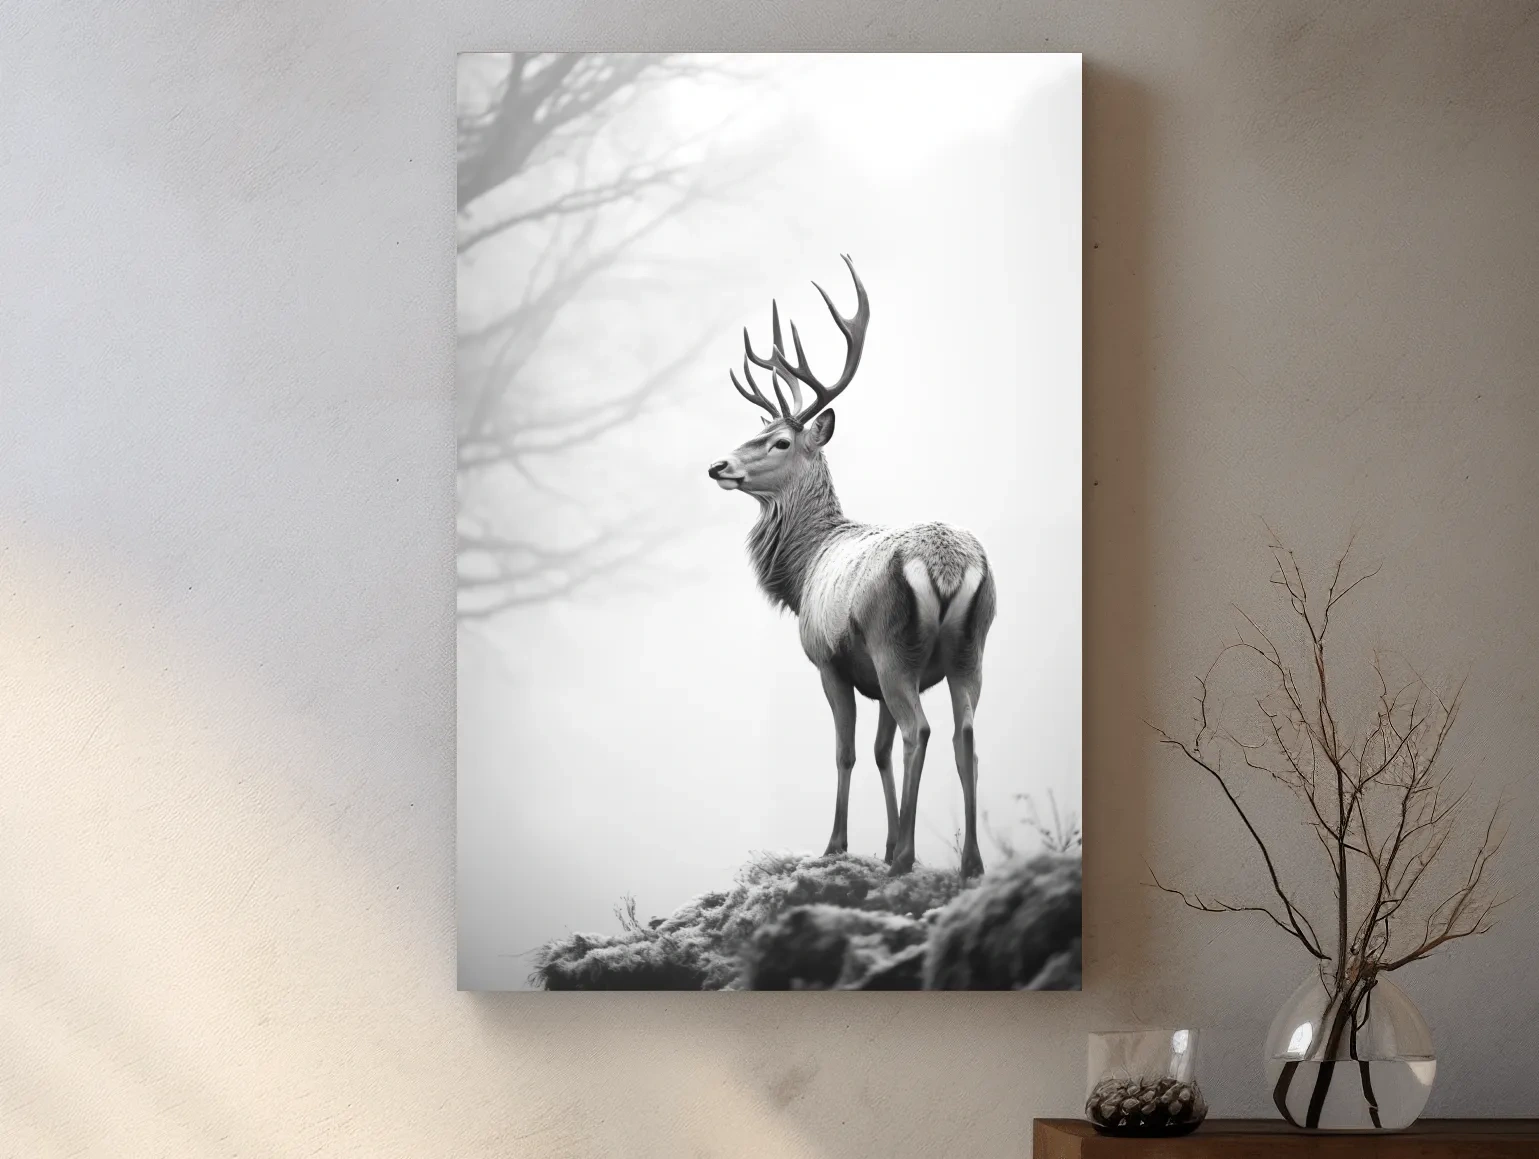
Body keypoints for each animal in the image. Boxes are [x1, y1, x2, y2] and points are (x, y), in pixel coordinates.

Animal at [707, 256, 996, 879]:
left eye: (780, 441)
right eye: (756, 431)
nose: (717, 465)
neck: (804, 569)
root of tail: (947, 566)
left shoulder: (829, 660)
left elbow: (848, 751)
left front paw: (839, 845)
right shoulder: (874, 678)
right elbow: (881, 752)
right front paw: (882, 842)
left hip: (893, 643)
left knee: (921, 729)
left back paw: (907, 858)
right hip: (970, 648)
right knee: (963, 735)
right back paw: (969, 864)